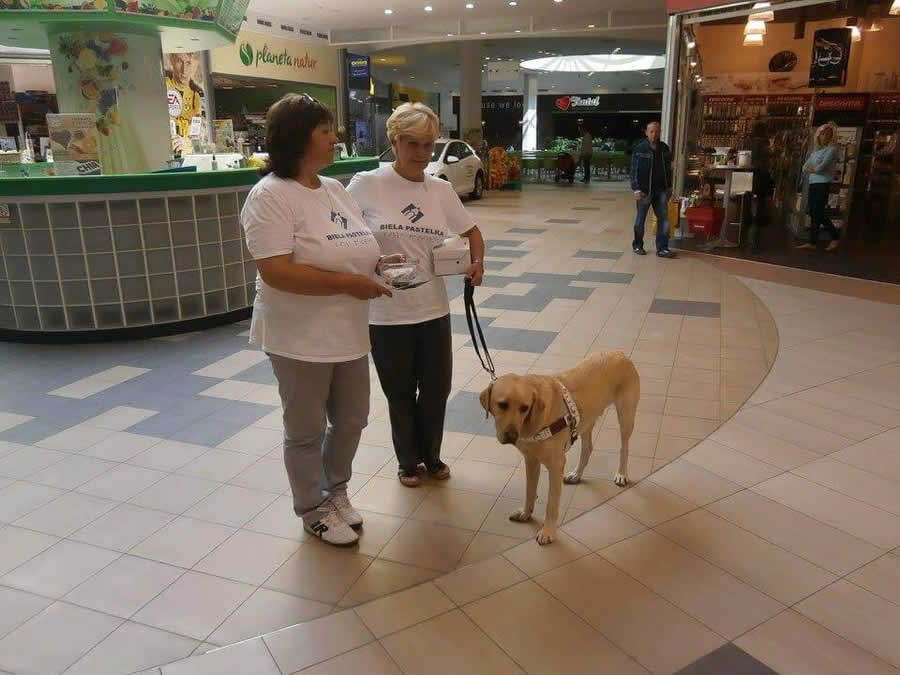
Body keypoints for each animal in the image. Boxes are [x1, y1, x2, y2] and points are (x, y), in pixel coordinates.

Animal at [482, 352, 636, 548]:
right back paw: (577, 474)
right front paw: (526, 513)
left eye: (524, 408)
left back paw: (621, 473)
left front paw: (548, 531)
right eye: (502, 404)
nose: (511, 435)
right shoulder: (531, 460)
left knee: (625, 447)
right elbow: (529, 491)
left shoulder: (556, 465)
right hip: (586, 422)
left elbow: (552, 503)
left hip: (626, 415)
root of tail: (619, 353)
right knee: (587, 448)